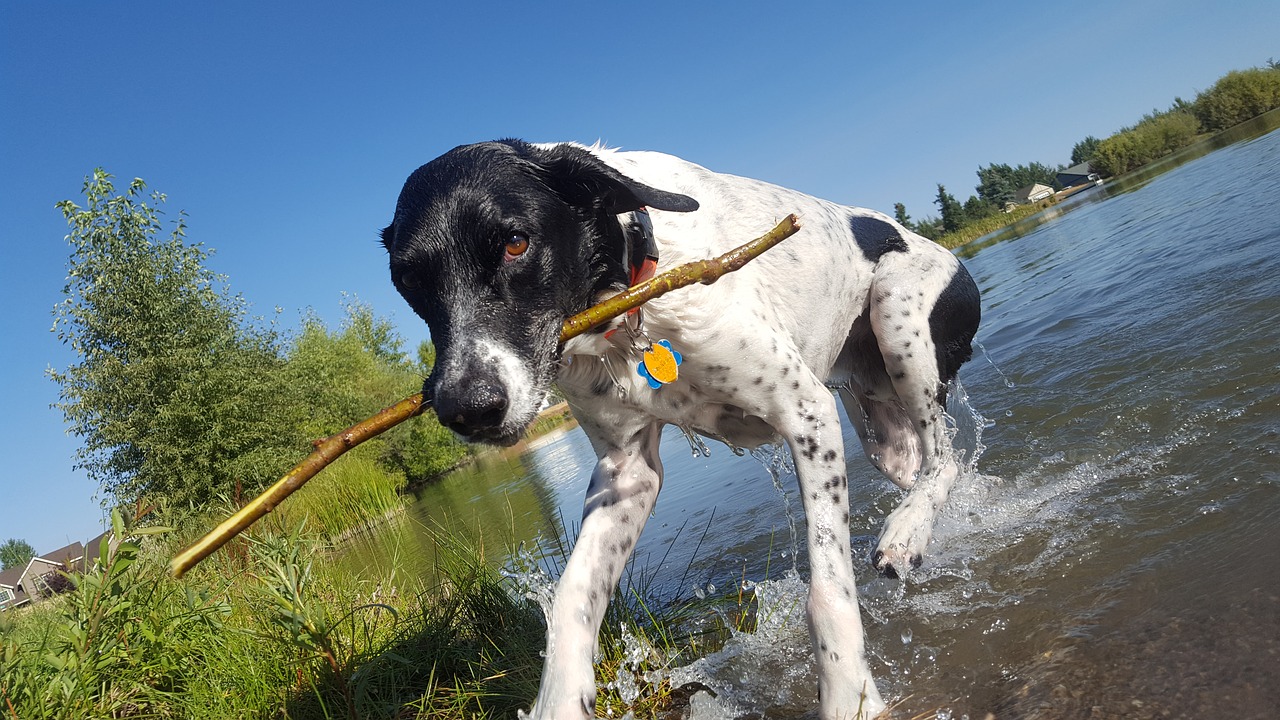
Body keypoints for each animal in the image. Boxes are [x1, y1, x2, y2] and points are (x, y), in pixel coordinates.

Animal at [378, 137, 977, 712]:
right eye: (407, 278)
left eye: (515, 243)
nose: (465, 408)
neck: (631, 297)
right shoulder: (626, 470)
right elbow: (572, 598)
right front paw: (559, 700)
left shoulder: (806, 410)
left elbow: (827, 591)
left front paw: (849, 694)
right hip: (878, 426)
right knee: (933, 466)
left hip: (898, 320)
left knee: (943, 457)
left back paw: (903, 533)